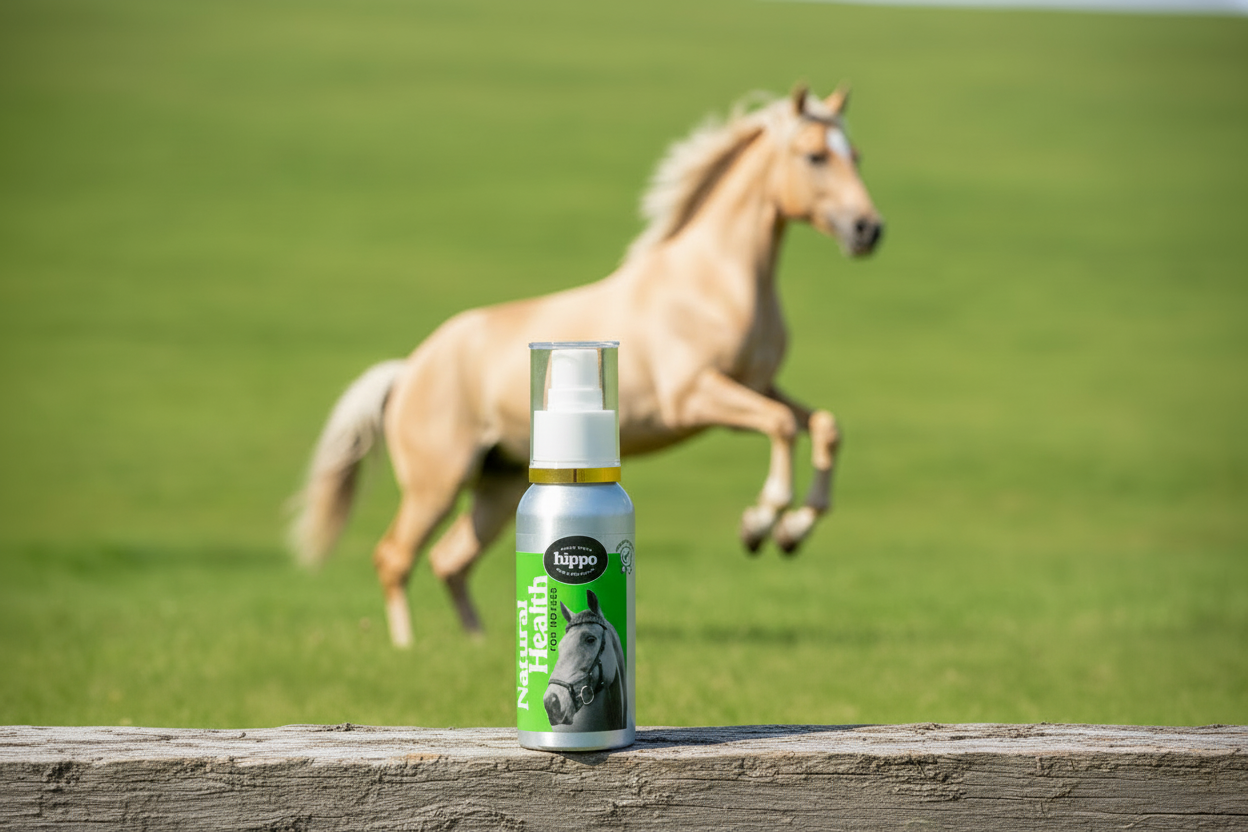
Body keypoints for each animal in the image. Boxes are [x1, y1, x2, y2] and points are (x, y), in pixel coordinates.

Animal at [290, 84, 883, 647]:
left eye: (854, 154)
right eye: (814, 156)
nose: (867, 230)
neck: (714, 281)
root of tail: (408, 369)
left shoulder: (757, 385)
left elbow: (823, 426)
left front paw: (794, 531)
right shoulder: (696, 397)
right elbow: (782, 427)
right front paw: (760, 525)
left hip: (498, 486)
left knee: (450, 560)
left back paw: (480, 642)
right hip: (435, 484)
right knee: (395, 557)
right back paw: (408, 647)